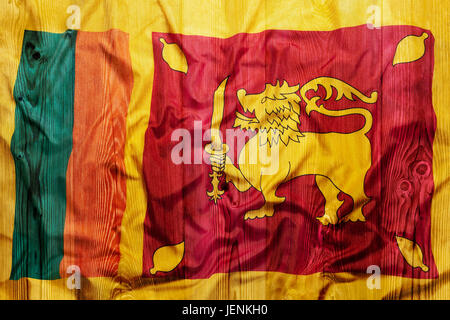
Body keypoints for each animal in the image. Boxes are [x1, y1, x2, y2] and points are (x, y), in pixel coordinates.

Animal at [216, 77, 378, 225]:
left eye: (264, 99)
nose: (241, 92)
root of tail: (359, 133)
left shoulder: (273, 177)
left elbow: (269, 196)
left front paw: (260, 213)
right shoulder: (249, 178)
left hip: (345, 178)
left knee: (361, 197)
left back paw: (353, 217)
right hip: (324, 179)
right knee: (335, 200)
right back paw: (326, 219)